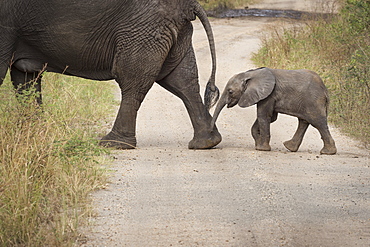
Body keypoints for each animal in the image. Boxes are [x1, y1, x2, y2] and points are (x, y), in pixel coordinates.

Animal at [0, 0, 221, 149]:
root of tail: (188, 4)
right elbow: (25, 80)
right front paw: (32, 136)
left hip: (143, 28)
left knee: (133, 82)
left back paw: (113, 143)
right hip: (168, 29)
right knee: (182, 82)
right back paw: (207, 142)